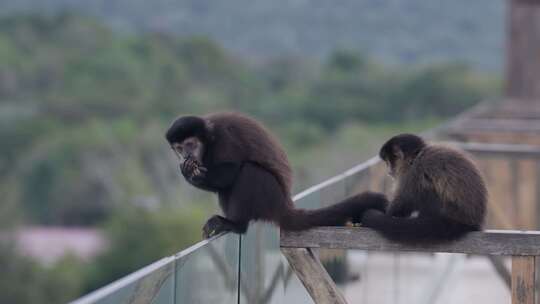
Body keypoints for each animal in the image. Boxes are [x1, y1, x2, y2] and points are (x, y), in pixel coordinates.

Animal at [166, 111, 384, 238]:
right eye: (179, 148)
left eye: (190, 144)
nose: (186, 155)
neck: (208, 141)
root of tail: (283, 204)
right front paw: (188, 170)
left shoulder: (224, 136)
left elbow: (232, 170)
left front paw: (192, 175)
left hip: (269, 196)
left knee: (249, 171)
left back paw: (237, 224)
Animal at [356, 134, 488, 242]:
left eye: (389, 162)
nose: (389, 170)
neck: (415, 157)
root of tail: (470, 222)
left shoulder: (413, 171)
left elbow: (405, 201)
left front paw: (388, 213)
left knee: (425, 185)